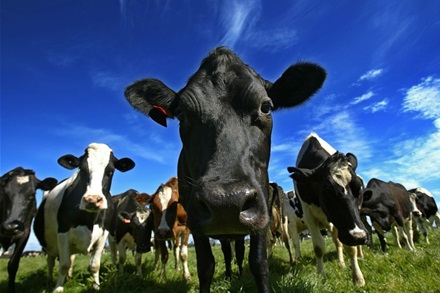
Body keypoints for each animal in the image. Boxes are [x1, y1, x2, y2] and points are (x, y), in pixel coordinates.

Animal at [33, 143, 134, 290]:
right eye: (82, 169)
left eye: (110, 172)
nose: (92, 200)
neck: (89, 221)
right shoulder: (62, 232)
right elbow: (63, 265)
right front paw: (58, 288)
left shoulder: (103, 235)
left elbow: (94, 265)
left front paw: (96, 286)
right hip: (49, 245)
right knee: (51, 262)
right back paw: (50, 281)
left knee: (70, 259)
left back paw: (69, 278)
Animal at [125, 46, 324, 290]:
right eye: (182, 114)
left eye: (266, 107)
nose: (226, 202)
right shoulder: (194, 219)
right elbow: (206, 266)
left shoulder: (262, 213)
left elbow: (259, 263)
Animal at [288, 132, 368, 286]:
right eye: (327, 190)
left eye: (359, 188)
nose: (359, 236)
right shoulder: (309, 216)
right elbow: (319, 247)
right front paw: (321, 276)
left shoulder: (345, 225)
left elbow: (350, 247)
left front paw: (358, 277)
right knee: (336, 241)